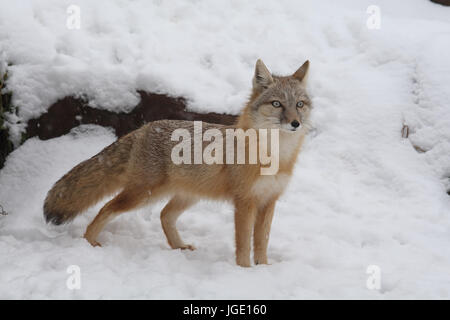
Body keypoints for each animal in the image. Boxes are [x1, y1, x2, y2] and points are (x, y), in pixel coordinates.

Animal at [44, 58, 312, 266]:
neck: (275, 157)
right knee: (106, 208)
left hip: (185, 196)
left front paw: (263, 269)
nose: (295, 123)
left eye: (299, 104)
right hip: (143, 194)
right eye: (277, 104)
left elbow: (262, 243)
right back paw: (89, 241)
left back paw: (178, 247)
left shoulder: (269, 201)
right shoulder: (245, 202)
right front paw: (245, 271)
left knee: (164, 215)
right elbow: (245, 245)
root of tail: (144, 128)